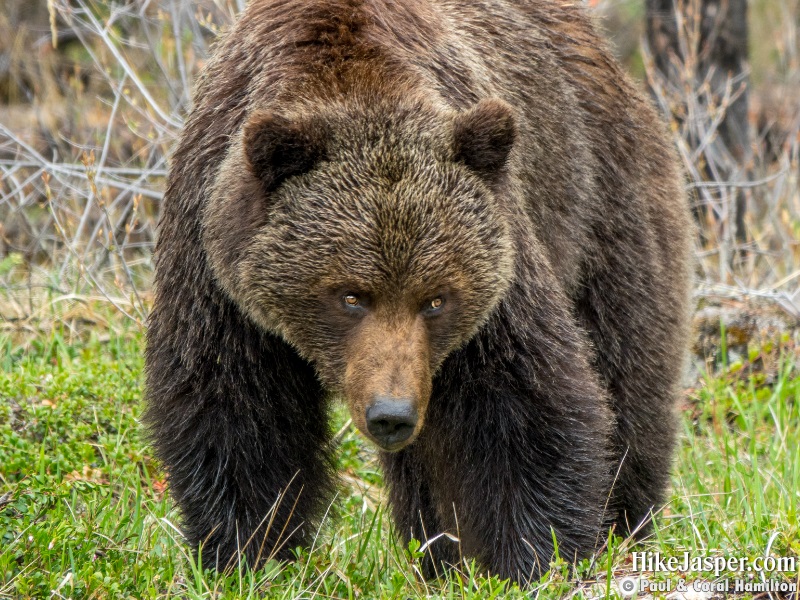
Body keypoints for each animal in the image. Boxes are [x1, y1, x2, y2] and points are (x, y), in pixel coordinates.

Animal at [144, 0, 692, 584]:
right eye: (350, 295)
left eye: (436, 298)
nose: (392, 414)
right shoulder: (216, 270)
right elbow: (235, 411)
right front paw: (249, 554)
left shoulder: (501, 270)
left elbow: (527, 402)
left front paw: (536, 556)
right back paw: (437, 553)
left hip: (604, 202)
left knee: (627, 367)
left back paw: (623, 523)